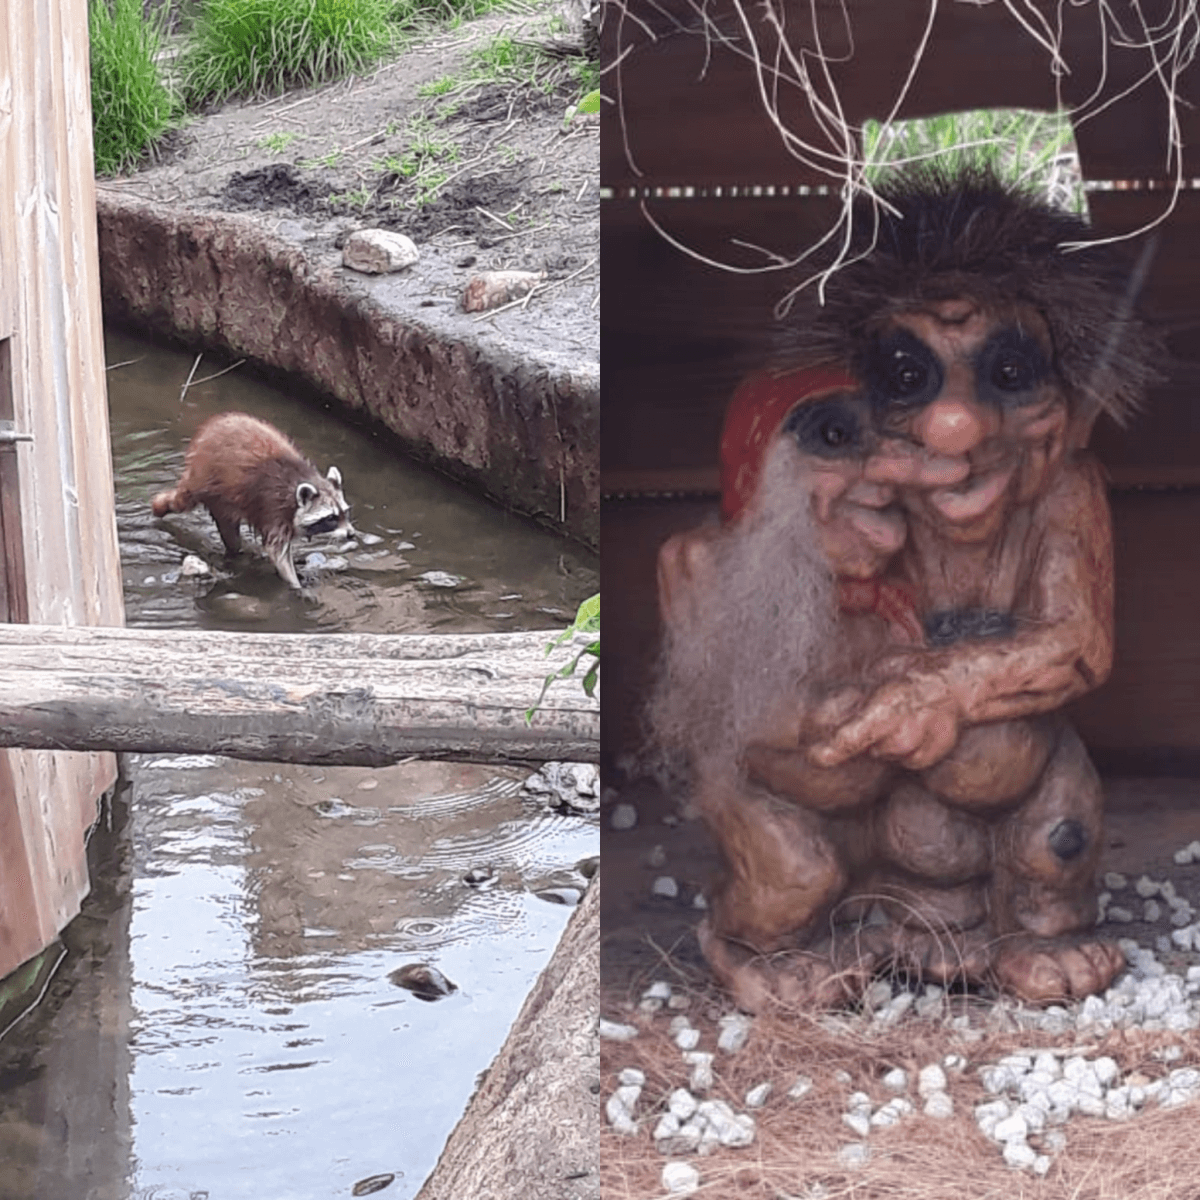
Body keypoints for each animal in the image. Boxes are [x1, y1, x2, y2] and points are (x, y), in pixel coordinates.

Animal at [152, 412, 352, 590]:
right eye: (331, 518)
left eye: (345, 512)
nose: (351, 534)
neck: (301, 479)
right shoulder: (274, 509)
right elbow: (277, 551)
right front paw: (295, 584)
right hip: (215, 490)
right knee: (228, 530)